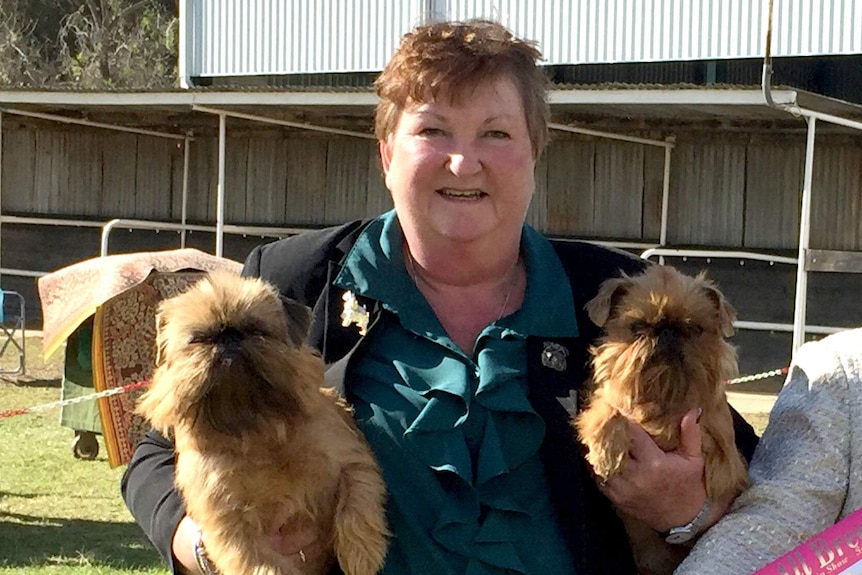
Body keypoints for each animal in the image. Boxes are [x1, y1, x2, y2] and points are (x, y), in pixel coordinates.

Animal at [136, 272, 392, 575]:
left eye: (257, 330)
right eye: (199, 339)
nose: (228, 338)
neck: (256, 429)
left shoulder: (349, 460)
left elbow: (356, 500)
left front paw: (360, 554)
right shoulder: (230, 519)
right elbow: (259, 561)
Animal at [572, 266, 748, 575]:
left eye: (694, 329)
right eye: (638, 327)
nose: (667, 331)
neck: (661, 394)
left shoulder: (725, 461)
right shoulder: (608, 400)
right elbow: (607, 410)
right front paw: (606, 451)